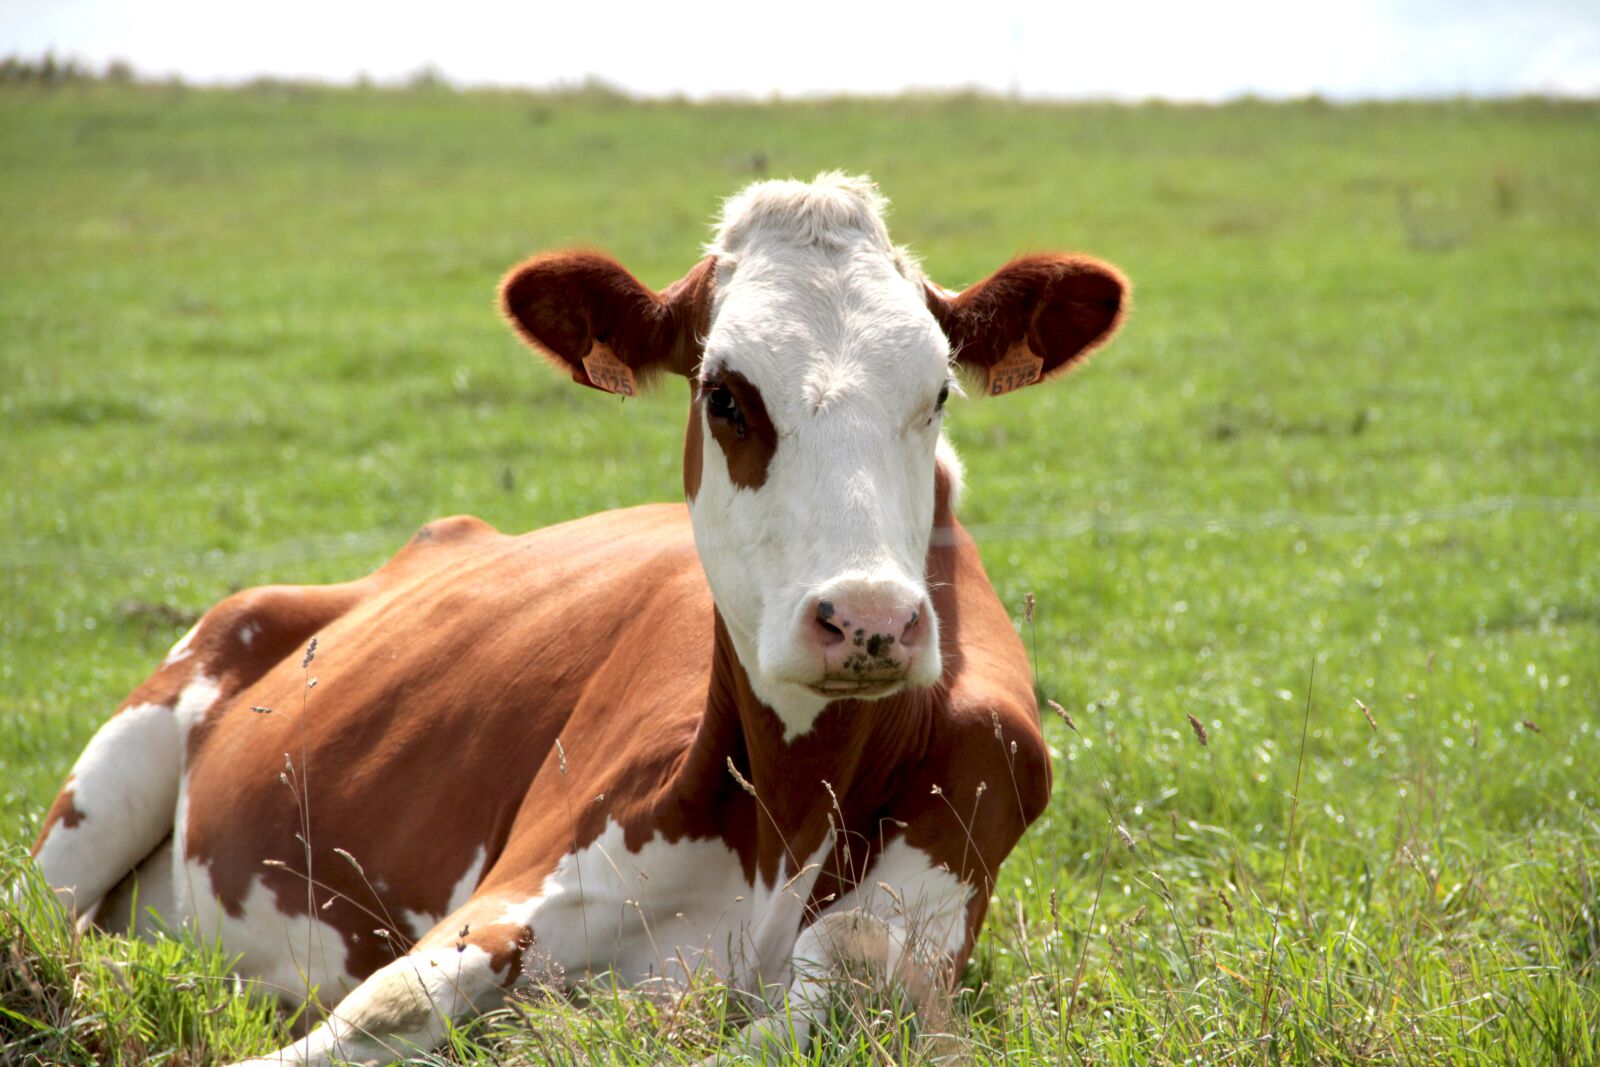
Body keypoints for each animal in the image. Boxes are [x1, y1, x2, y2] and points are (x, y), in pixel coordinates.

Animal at [26, 172, 1127, 1066]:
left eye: (936, 391)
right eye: (726, 396)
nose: (867, 619)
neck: (790, 805)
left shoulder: (903, 932)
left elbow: (836, 988)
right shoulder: (508, 901)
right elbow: (387, 1005)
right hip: (103, 787)